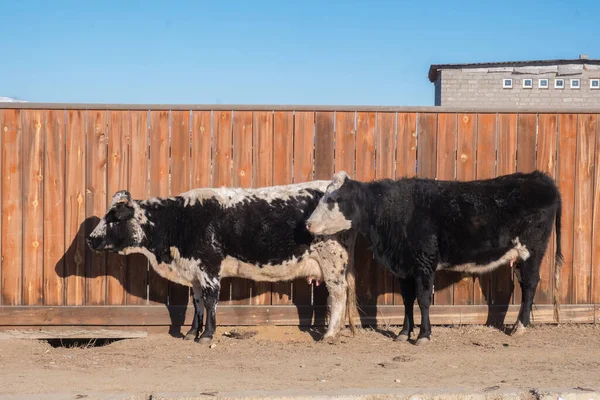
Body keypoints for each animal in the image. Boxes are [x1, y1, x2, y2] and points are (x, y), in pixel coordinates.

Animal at [86, 183, 358, 342]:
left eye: (114, 218)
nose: (90, 239)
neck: (179, 220)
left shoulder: (209, 268)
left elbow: (210, 301)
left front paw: (207, 335)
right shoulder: (194, 272)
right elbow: (196, 303)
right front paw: (191, 333)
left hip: (333, 262)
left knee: (338, 295)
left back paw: (329, 334)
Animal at [308, 170, 564, 346]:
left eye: (334, 199)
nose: (308, 223)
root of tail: (540, 178)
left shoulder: (424, 263)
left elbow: (422, 300)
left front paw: (423, 335)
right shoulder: (404, 267)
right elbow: (407, 300)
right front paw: (403, 333)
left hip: (532, 250)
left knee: (530, 284)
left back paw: (519, 326)